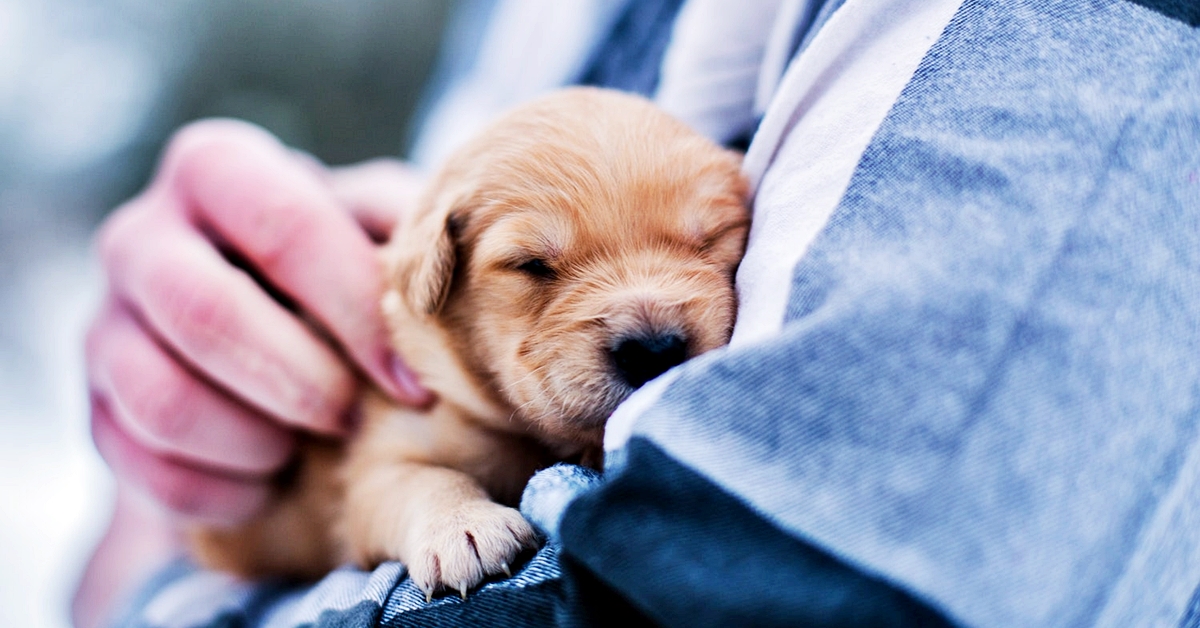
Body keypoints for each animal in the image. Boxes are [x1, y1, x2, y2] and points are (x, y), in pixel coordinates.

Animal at [188, 87, 748, 600]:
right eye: (531, 265)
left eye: (711, 238)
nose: (654, 350)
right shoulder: (374, 464)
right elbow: (421, 479)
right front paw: (463, 527)